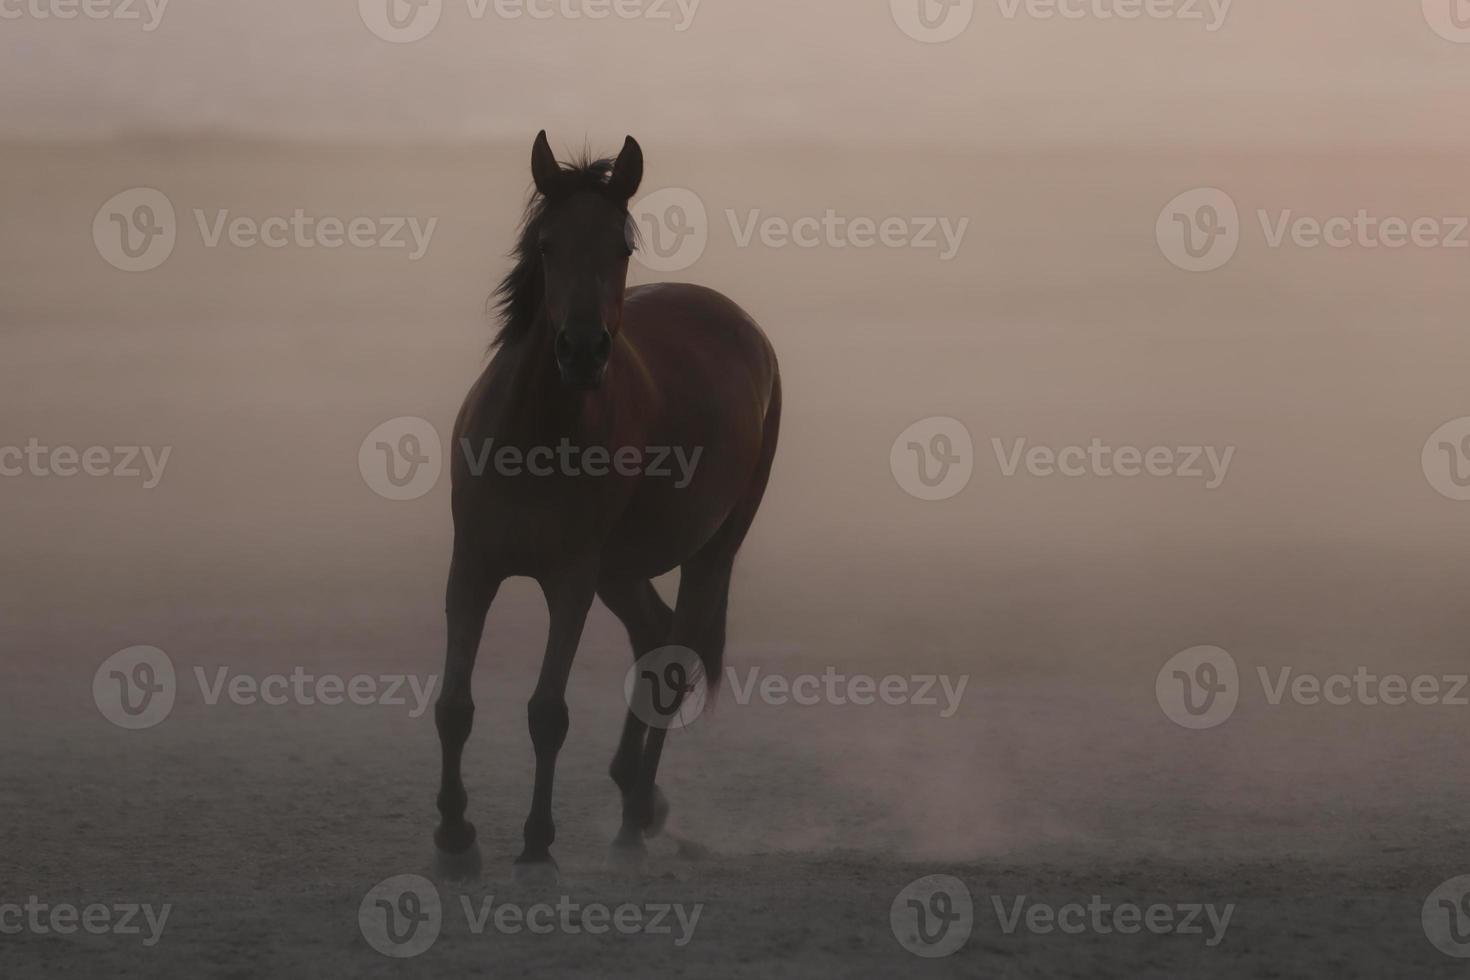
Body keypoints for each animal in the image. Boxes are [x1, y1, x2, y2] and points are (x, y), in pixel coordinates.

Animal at [429, 128, 782, 881]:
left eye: (622, 246)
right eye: (547, 244)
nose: (584, 350)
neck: (536, 433)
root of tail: (741, 324)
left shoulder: (571, 580)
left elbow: (547, 712)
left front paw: (537, 840)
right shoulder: (472, 568)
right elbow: (454, 706)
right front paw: (454, 836)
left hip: (710, 552)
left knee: (673, 655)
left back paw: (634, 816)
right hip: (621, 570)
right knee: (652, 633)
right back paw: (634, 800)